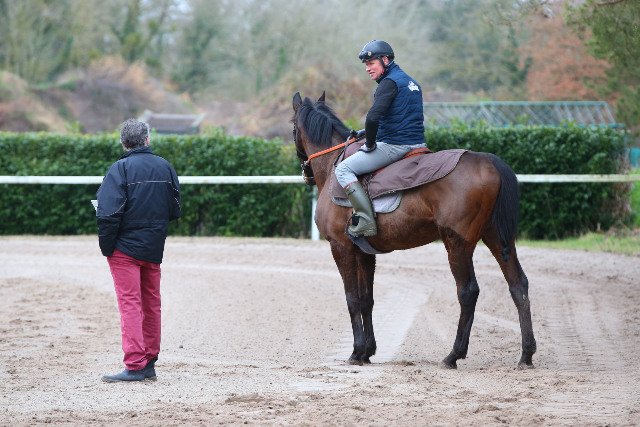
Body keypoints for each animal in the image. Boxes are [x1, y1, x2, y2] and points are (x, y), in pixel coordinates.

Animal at [292, 92, 537, 369]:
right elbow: (366, 299)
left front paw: (356, 352)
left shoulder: (341, 247)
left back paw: (453, 355)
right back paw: (526, 354)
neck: (335, 168)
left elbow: (352, 299)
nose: (305, 173)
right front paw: (368, 350)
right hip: (497, 239)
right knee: (518, 285)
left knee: (468, 292)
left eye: (293, 128)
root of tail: (488, 161)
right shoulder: (365, 253)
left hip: (457, 244)